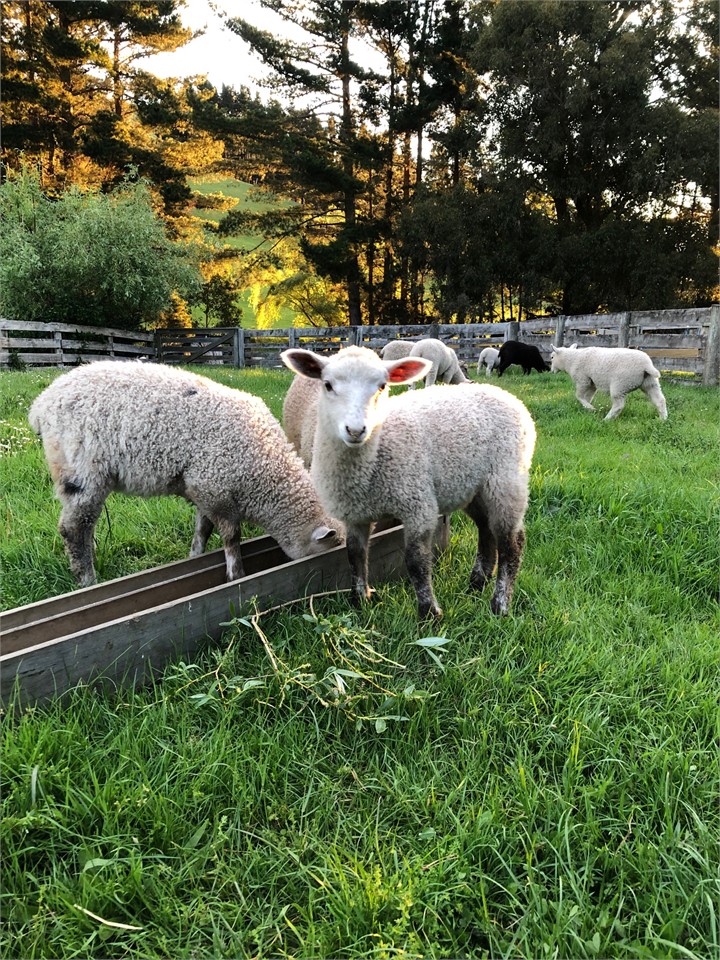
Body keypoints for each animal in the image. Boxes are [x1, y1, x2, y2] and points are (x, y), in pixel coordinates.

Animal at [28, 361, 343, 587]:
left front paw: (195, 555)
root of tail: (41, 404)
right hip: (81, 471)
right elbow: (231, 536)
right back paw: (88, 580)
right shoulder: (216, 488)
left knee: (83, 526)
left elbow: (202, 529)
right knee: (73, 528)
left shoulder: (204, 489)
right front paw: (236, 573)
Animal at [280, 346, 536, 620]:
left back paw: (500, 604)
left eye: (382, 386)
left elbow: (416, 562)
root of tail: (504, 394)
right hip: (472, 487)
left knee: (512, 542)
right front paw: (360, 601)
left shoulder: (418, 505)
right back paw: (477, 583)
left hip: (506, 480)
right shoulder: (355, 515)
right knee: (485, 529)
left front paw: (429, 614)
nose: (356, 430)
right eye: (327, 385)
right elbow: (355, 555)